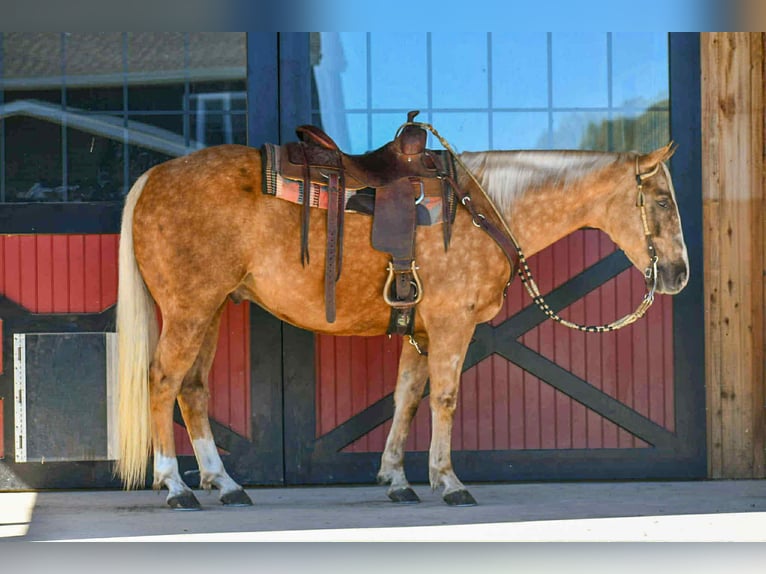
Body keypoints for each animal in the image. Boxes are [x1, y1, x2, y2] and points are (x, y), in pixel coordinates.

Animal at [115, 137, 688, 509]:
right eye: (661, 200)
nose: (678, 274)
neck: (486, 208)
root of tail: (154, 177)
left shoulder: (421, 329)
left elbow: (407, 398)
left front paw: (396, 480)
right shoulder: (453, 325)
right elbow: (445, 399)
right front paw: (449, 482)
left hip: (210, 309)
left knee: (192, 390)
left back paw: (226, 484)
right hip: (189, 310)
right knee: (162, 381)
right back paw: (175, 485)